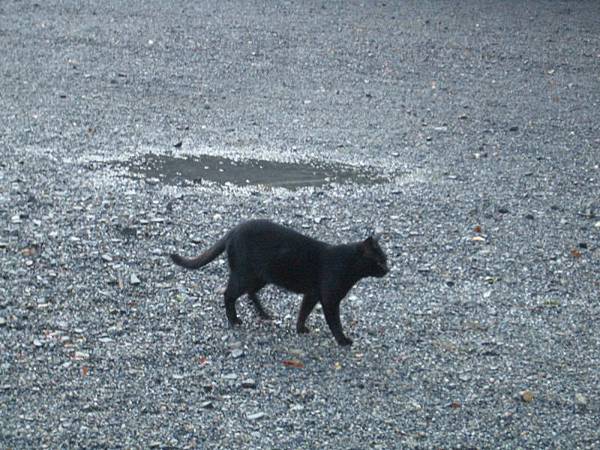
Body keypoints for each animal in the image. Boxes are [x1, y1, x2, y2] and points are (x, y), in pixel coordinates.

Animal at [171, 220, 392, 346]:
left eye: (386, 259)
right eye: (379, 261)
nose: (388, 269)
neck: (347, 265)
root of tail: (232, 231)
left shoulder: (312, 294)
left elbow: (304, 311)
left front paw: (300, 328)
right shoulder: (329, 299)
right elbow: (335, 322)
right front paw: (343, 340)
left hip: (261, 276)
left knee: (250, 293)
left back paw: (265, 314)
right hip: (245, 275)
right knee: (228, 294)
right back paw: (234, 320)